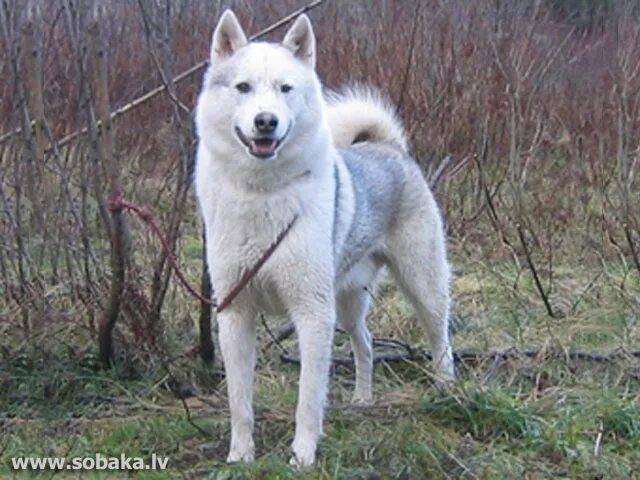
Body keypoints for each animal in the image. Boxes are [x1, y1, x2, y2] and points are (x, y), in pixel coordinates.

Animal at [195, 10, 456, 468]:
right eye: (243, 87)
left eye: (285, 88)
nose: (266, 121)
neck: (263, 193)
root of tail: (388, 148)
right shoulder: (235, 313)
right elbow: (239, 399)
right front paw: (241, 454)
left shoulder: (312, 314)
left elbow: (308, 397)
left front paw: (303, 455)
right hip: (348, 304)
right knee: (365, 346)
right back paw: (363, 401)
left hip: (422, 287)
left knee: (441, 340)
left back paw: (446, 389)